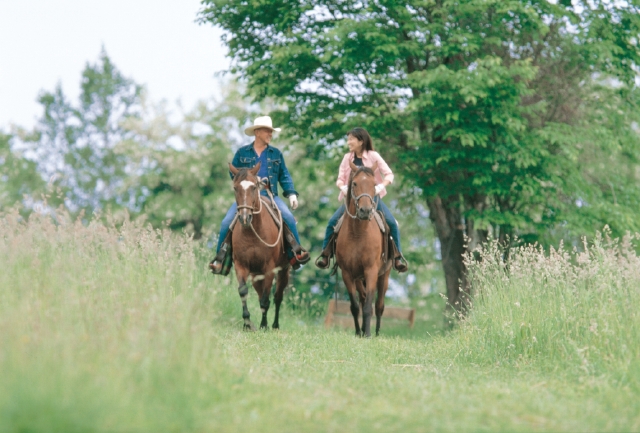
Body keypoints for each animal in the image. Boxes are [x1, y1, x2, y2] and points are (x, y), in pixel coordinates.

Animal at [228, 163, 288, 330]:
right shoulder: (241, 265)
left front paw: (264, 325)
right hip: (256, 274)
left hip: (284, 270)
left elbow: (266, 298)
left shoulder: (270, 268)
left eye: (254, 187)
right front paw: (247, 323)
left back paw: (275, 325)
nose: (244, 217)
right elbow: (243, 292)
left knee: (278, 296)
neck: (252, 234)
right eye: (235, 188)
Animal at [338, 160, 392, 336]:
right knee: (361, 299)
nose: (365, 211)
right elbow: (355, 306)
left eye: (374, 184)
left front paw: (368, 334)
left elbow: (369, 306)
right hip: (358, 278)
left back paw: (376, 332)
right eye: (354, 183)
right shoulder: (347, 274)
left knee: (379, 305)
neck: (358, 233)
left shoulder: (371, 271)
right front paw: (358, 332)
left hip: (384, 276)